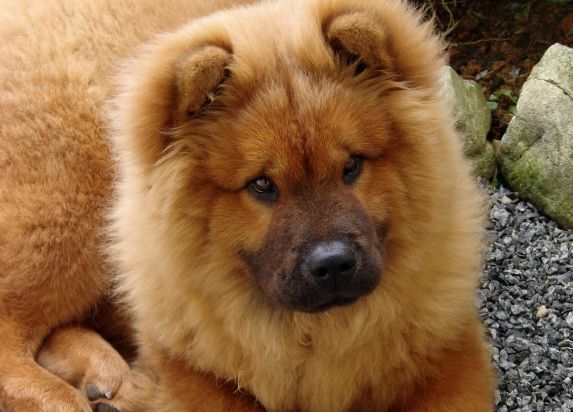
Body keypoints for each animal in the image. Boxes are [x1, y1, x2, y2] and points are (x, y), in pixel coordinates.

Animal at [0, 0, 492, 412]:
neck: (313, 335)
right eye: (262, 185)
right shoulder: (191, 370)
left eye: (352, 166)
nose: (333, 263)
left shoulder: (449, 352)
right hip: (71, 215)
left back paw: (107, 380)